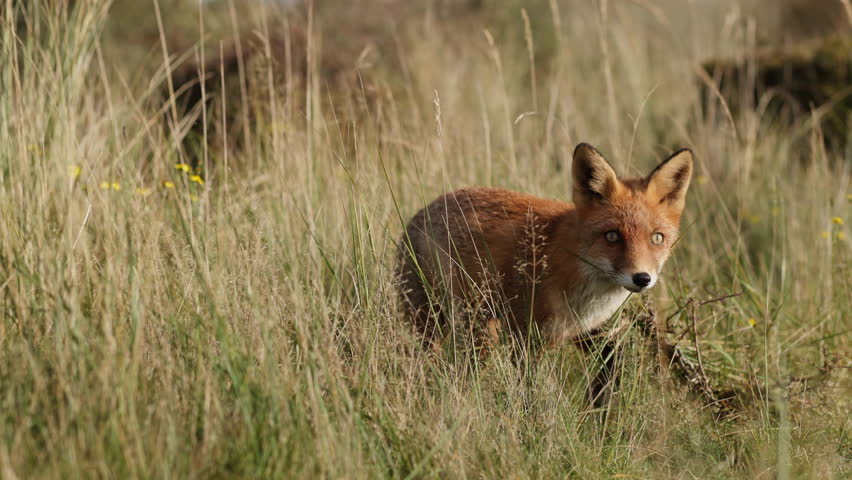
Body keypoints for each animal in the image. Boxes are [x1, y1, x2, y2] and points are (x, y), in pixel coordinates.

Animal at [396, 143, 693, 401]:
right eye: (612, 236)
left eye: (657, 238)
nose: (642, 278)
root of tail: (424, 210)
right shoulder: (525, 338)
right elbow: (529, 394)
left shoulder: (583, 331)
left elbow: (612, 363)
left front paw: (600, 408)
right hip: (451, 326)